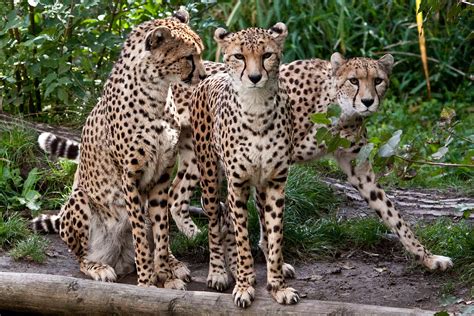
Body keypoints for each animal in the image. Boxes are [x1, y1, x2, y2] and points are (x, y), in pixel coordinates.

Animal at [31, 9, 206, 288]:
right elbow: (141, 237)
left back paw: (173, 264)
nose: (204, 76)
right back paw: (99, 266)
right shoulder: (130, 177)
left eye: (199, 54)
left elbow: (161, 232)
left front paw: (166, 277)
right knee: (80, 257)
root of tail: (119, 257)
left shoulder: (161, 177)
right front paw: (147, 282)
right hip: (79, 199)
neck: (157, 92)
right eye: (188, 57)